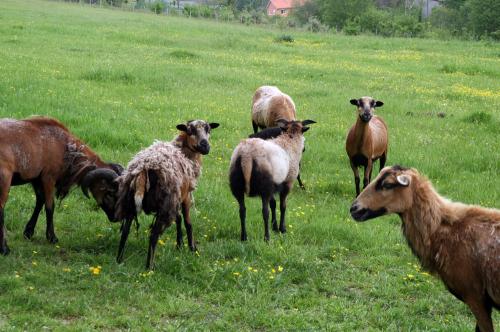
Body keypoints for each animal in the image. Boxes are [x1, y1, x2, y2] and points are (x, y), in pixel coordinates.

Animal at [0, 116, 122, 254]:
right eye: (110, 193)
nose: (116, 218)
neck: (65, 147)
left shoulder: (36, 179)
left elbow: (39, 202)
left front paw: (28, 232)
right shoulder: (48, 177)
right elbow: (49, 206)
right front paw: (52, 237)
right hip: (5, 178)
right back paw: (5, 248)